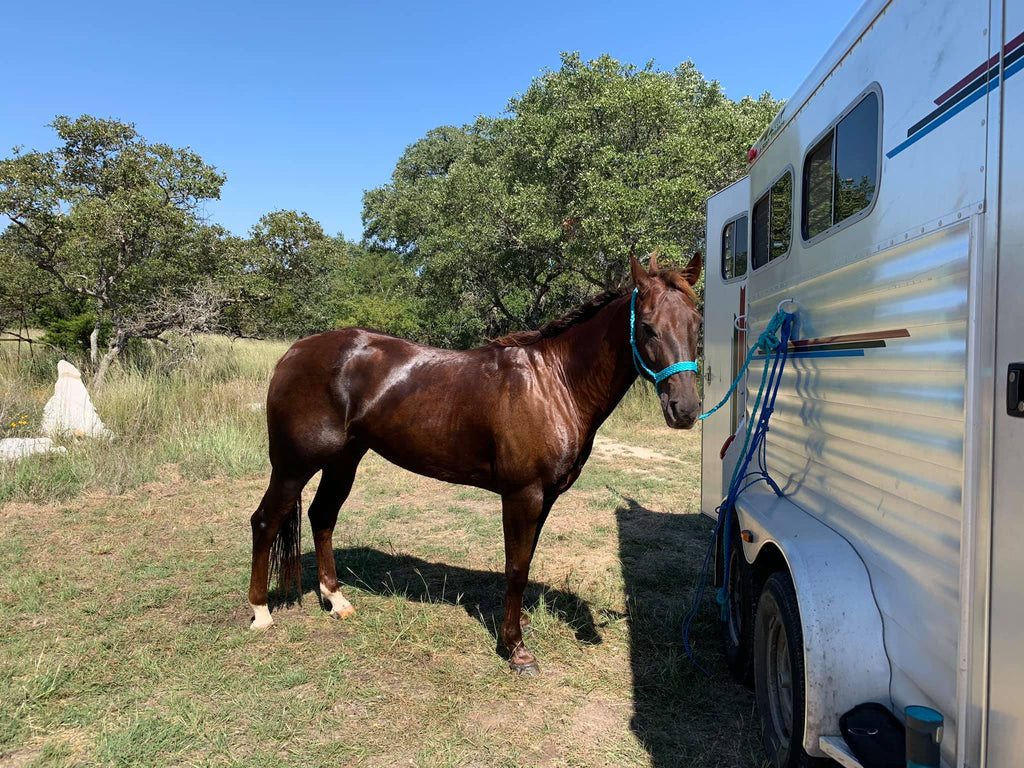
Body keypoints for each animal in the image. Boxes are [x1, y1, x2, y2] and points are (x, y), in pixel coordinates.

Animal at [245, 252, 704, 671]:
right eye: (647, 327)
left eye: (697, 324)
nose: (685, 409)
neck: (553, 384)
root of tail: (295, 352)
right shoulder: (522, 495)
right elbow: (517, 567)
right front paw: (516, 649)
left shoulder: (545, 498)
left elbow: (525, 560)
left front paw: (516, 630)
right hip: (293, 465)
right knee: (265, 521)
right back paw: (261, 613)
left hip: (343, 461)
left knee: (322, 516)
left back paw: (336, 599)